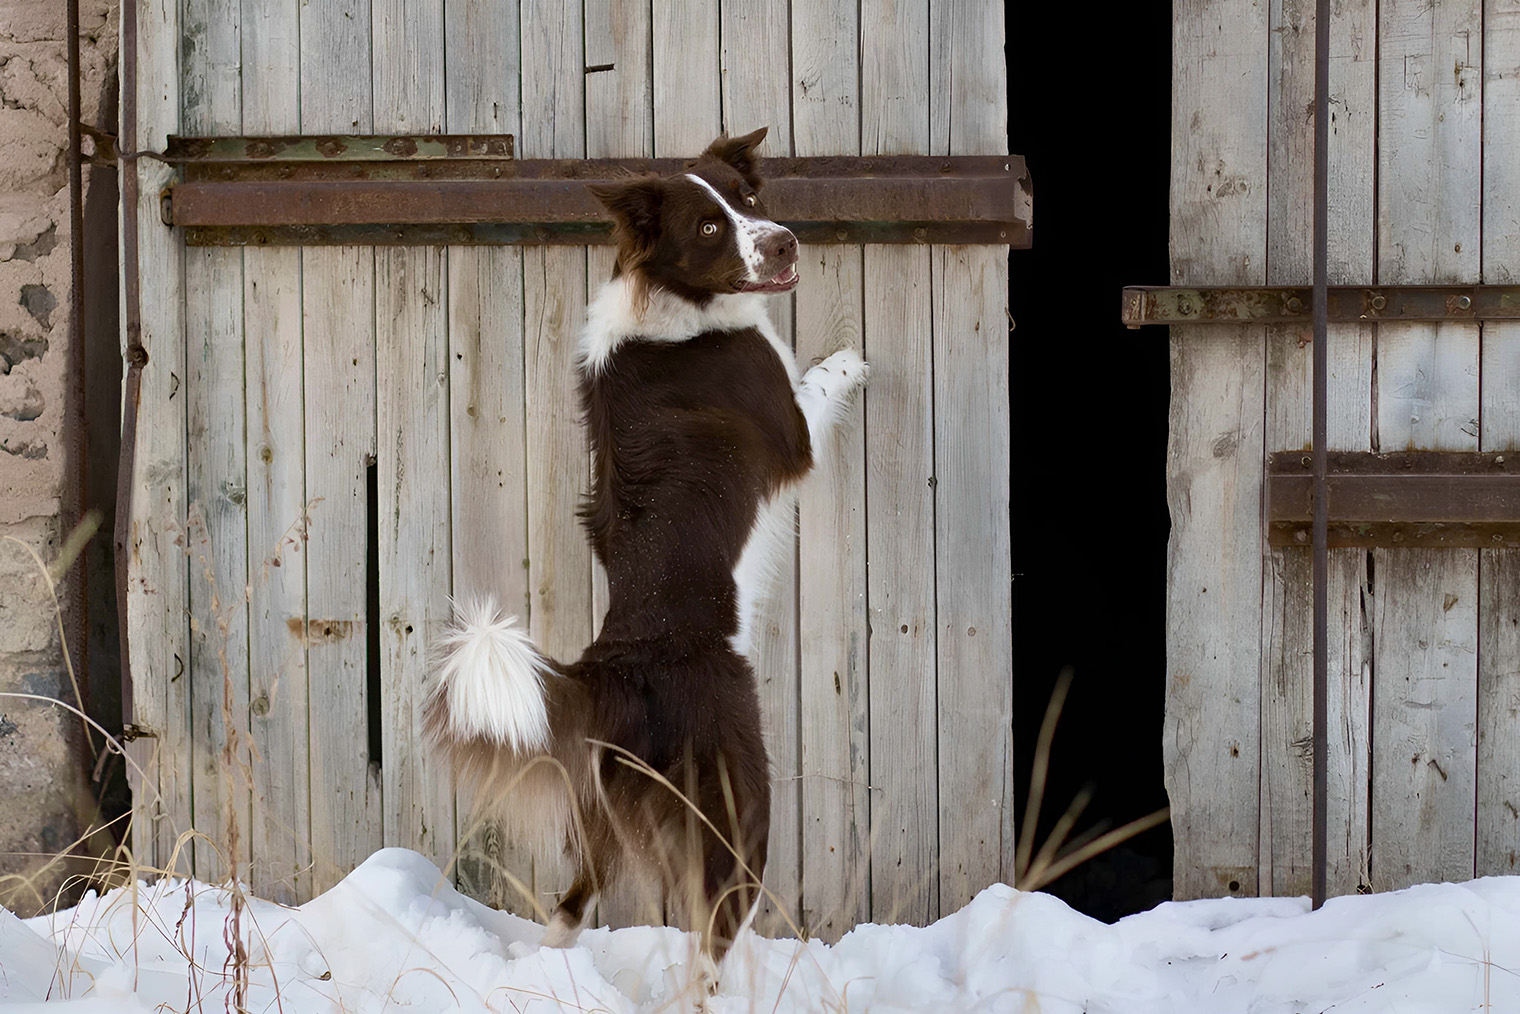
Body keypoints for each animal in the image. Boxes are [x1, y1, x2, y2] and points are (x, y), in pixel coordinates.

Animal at [422, 129, 869, 966]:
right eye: (709, 226)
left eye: (749, 199)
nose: (785, 240)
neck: (670, 297)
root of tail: (609, 674)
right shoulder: (790, 429)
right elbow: (819, 379)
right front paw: (856, 357)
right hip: (734, 808)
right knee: (711, 933)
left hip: (601, 821)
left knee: (569, 906)